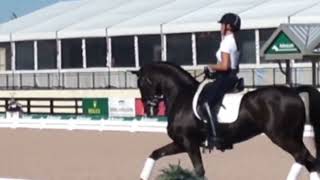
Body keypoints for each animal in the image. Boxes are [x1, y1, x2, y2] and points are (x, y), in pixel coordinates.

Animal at [134, 62, 320, 180]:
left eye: (141, 84)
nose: (150, 110)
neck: (182, 95)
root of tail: (294, 91)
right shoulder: (182, 143)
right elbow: (155, 153)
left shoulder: (189, 143)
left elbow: (199, 171)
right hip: (293, 136)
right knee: (310, 161)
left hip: (282, 137)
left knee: (302, 156)